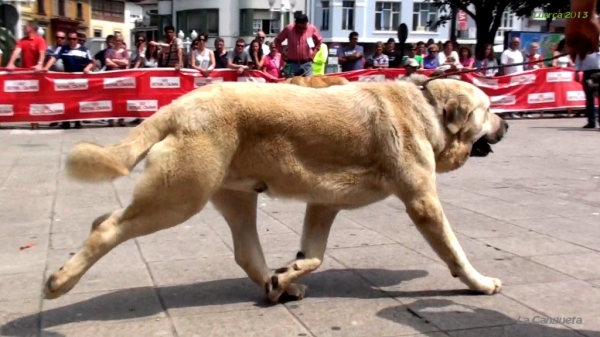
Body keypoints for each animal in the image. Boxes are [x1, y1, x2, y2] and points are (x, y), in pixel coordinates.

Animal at [44, 76, 508, 302]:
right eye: (489, 108)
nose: (506, 124)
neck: (430, 109)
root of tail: (180, 105)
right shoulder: (422, 201)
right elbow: (454, 252)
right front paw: (480, 283)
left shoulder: (323, 203)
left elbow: (314, 255)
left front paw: (288, 273)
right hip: (177, 198)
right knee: (105, 226)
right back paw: (60, 281)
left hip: (234, 198)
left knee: (246, 252)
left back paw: (277, 286)